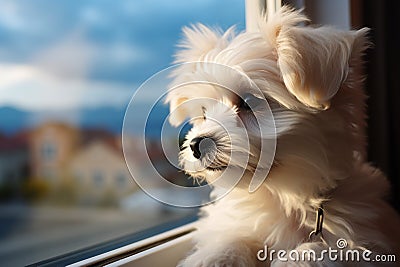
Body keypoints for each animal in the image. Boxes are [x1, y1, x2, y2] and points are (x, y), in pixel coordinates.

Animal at [165, 6, 396, 267]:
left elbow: (325, 249)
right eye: (204, 113)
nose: (195, 144)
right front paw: (211, 256)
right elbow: (234, 238)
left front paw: (299, 256)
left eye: (248, 102)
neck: (282, 196)